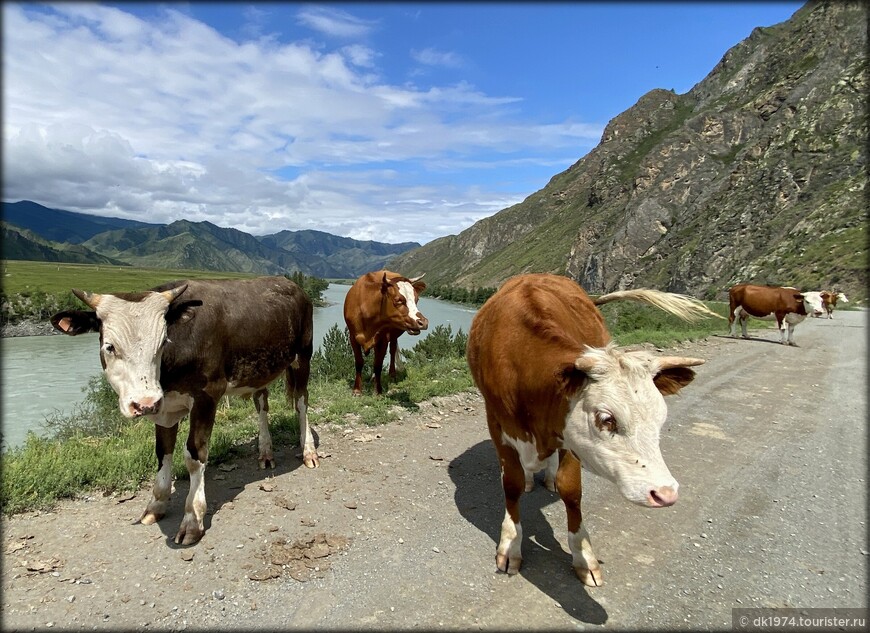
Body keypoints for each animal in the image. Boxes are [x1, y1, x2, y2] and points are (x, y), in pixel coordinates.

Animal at [50, 276, 320, 544]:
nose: (144, 403)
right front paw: (155, 505)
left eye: (162, 342)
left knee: (301, 402)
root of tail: (290, 283)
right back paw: (265, 453)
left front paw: (192, 519)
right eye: (110, 347)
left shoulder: (207, 396)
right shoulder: (165, 407)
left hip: (303, 356)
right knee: (261, 402)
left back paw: (308, 451)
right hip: (260, 369)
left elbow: (194, 454)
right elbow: (163, 452)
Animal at [346, 268, 430, 396]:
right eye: (399, 300)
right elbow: (359, 362)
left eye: (417, 299)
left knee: (392, 350)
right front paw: (357, 390)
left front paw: (378, 391)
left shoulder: (383, 338)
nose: (423, 322)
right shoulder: (353, 336)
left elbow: (378, 364)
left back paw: (392, 374)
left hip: (394, 335)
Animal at [470, 274, 724, 584]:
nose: (665, 493)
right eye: (607, 418)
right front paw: (510, 545)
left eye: (660, 419)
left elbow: (571, 490)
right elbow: (512, 485)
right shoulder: (497, 424)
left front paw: (583, 556)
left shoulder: (569, 435)